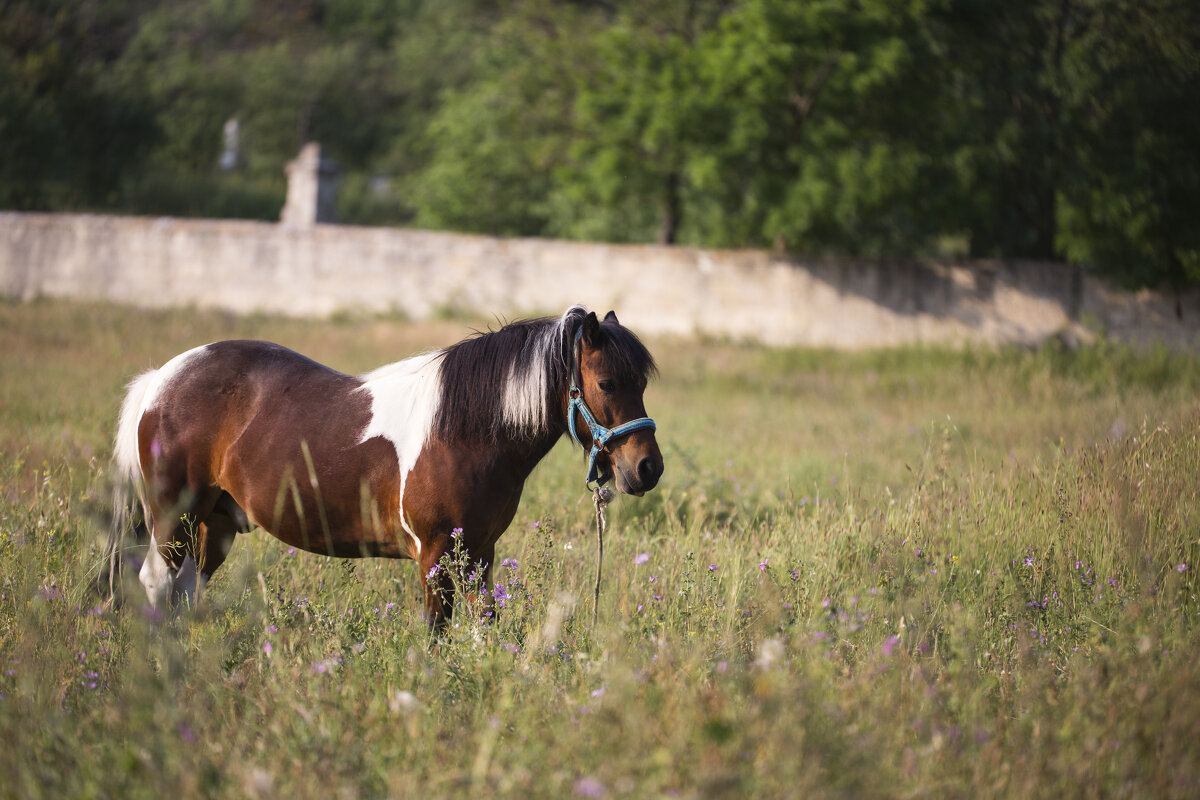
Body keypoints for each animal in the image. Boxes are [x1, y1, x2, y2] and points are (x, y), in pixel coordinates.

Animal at [104, 307, 662, 623]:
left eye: (642, 383)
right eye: (607, 383)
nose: (648, 468)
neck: (464, 430)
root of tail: (161, 379)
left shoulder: (479, 553)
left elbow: (485, 624)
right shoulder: (434, 556)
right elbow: (437, 632)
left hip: (213, 524)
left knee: (185, 591)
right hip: (174, 519)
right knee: (156, 585)